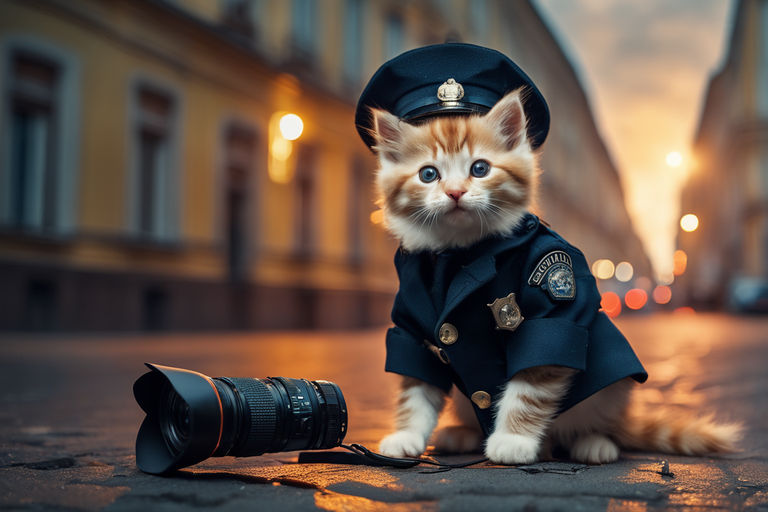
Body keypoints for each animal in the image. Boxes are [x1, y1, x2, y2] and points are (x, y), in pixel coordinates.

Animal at [372, 90, 744, 466]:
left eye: (480, 169)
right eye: (428, 174)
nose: (454, 192)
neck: (460, 254)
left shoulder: (552, 309)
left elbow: (530, 384)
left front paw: (513, 440)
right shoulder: (413, 327)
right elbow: (416, 384)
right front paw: (407, 434)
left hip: (609, 386)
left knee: (602, 421)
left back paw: (592, 442)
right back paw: (464, 435)